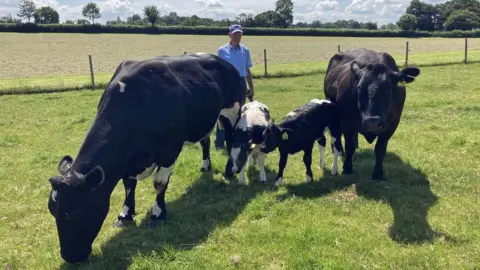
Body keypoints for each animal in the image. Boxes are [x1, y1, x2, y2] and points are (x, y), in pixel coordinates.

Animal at [47, 53, 246, 264]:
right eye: (52, 210)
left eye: (72, 211)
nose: (68, 256)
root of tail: (222, 60)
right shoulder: (127, 161)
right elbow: (129, 186)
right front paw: (125, 215)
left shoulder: (169, 150)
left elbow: (159, 184)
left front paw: (157, 215)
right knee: (205, 141)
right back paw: (206, 167)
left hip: (232, 110)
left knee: (232, 139)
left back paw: (230, 170)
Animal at [322, 49, 420, 179]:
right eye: (359, 87)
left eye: (387, 87)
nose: (372, 121)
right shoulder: (348, 122)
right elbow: (349, 146)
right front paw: (347, 168)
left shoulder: (392, 124)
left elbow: (380, 149)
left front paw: (378, 174)